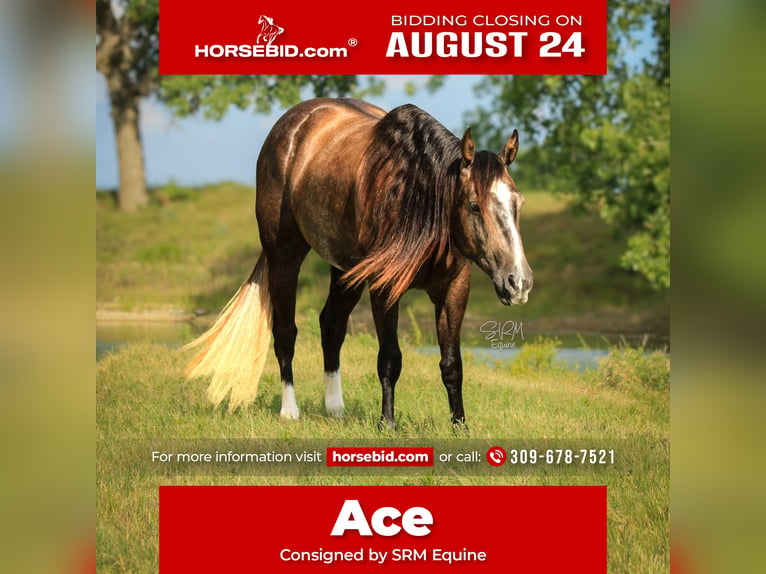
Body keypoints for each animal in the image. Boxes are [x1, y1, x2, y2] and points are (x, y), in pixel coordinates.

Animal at [184, 98, 533, 429]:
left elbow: (452, 364)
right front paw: (387, 423)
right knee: (285, 332)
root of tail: (291, 126)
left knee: (331, 326)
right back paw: (290, 411)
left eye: (518, 202)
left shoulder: (454, 290)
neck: (416, 202)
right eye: (474, 205)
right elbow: (390, 359)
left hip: (344, 270)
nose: (519, 282)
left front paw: (460, 425)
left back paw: (335, 410)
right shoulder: (384, 287)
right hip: (283, 257)